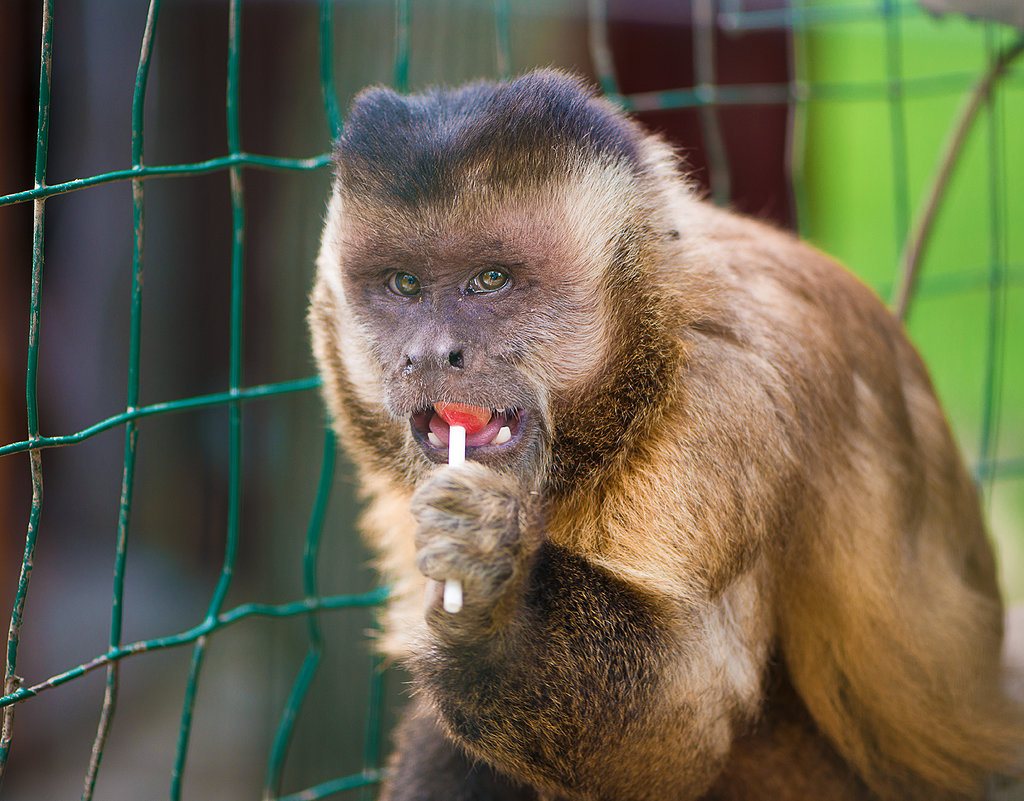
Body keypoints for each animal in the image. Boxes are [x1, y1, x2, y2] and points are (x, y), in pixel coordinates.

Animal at [305, 70, 1024, 801]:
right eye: (404, 284)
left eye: (491, 280)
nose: (430, 354)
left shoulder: (730, 392)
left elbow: (687, 725)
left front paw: (494, 603)